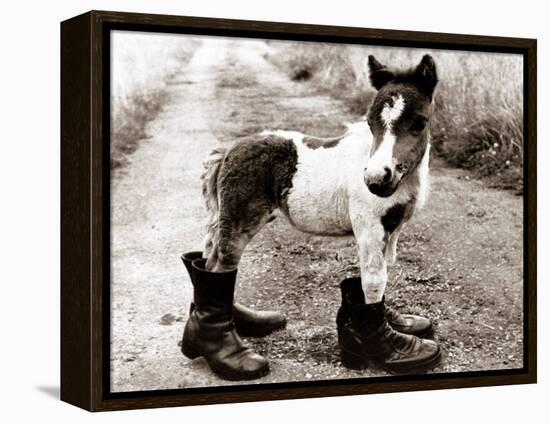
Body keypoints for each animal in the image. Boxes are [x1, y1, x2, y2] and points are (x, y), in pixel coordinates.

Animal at [185, 53, 444, 380]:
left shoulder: (391, 229)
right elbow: (374, 280)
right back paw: (227, 353)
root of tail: (229, 148)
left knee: (207, 260)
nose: (375, 179)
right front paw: (388, 348)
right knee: (218, 267)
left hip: (223, 219)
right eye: (370, 123)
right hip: (239, 221)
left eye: (419, 123)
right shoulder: (369, 226)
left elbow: (376, 276)